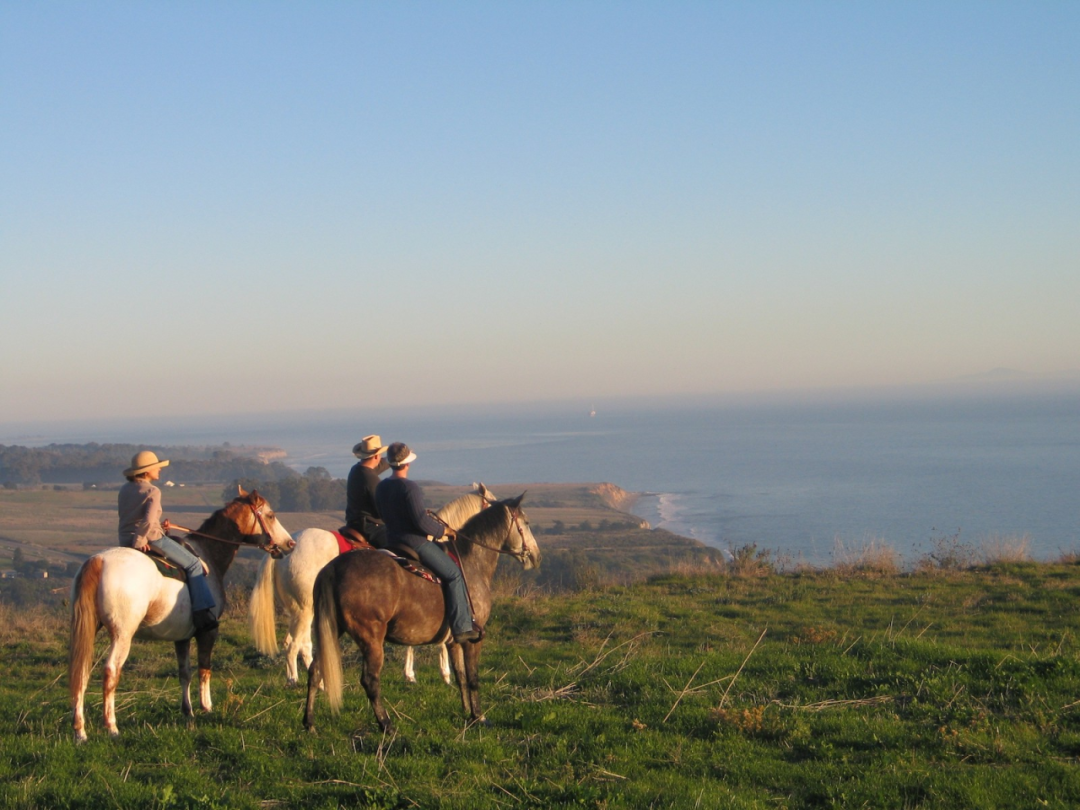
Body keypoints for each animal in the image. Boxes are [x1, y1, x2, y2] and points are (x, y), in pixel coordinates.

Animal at [69, 486, 293, 747]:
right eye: (270, 515)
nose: (290, 543)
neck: (208, 554)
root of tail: (99, 561)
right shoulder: (208, 631)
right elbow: (204, 668)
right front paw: (206, 707)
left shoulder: (182, 637)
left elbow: (184, 672)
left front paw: (188, 711)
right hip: (122, 635)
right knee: (111, 672)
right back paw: (112, 727)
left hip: (89, 631)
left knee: (81, 673)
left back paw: (80, 731)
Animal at [248, 486, 496, 686]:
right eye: (491, 502)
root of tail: (287, 548)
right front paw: (444, 674)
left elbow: (413, 639)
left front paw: (410, 674)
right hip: (304, 610)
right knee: (294, 645)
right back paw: (300, 681)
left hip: (301, 611)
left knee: (302, 644)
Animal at [302, 494, 540, 734]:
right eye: (527, 522)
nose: (536, 557)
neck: (470, 563)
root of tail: (333, 567)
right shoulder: (473, 639)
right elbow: (473, 677)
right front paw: (478, 717)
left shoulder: (454, 639)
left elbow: (460, 675)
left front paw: (466, 711)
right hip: (370, 638)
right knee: (369, 680)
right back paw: (386, 725)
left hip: (332, 630)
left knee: (315, 670)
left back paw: (309, 723)